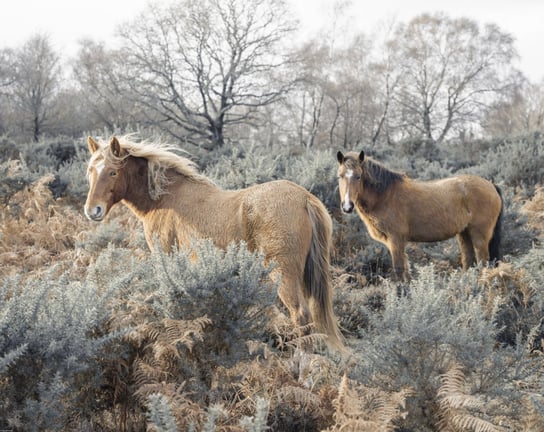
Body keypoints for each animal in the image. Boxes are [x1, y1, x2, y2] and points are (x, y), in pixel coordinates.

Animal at [85, 137, 344, 350]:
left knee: (300, 315)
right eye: (90, 172)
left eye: (112, 172)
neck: (164, 198)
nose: (92, 210)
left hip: (284, 274)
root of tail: (304, 198)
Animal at [338, 150, 504, 282]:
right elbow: (405, 271)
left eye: (358, 176)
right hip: (464, 234)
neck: (385, 195)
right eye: (340, 176)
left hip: (479, 237)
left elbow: (399, 270)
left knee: (483, 263)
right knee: (469, 262)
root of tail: (491, 185)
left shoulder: (396, 240)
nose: (347, 206)